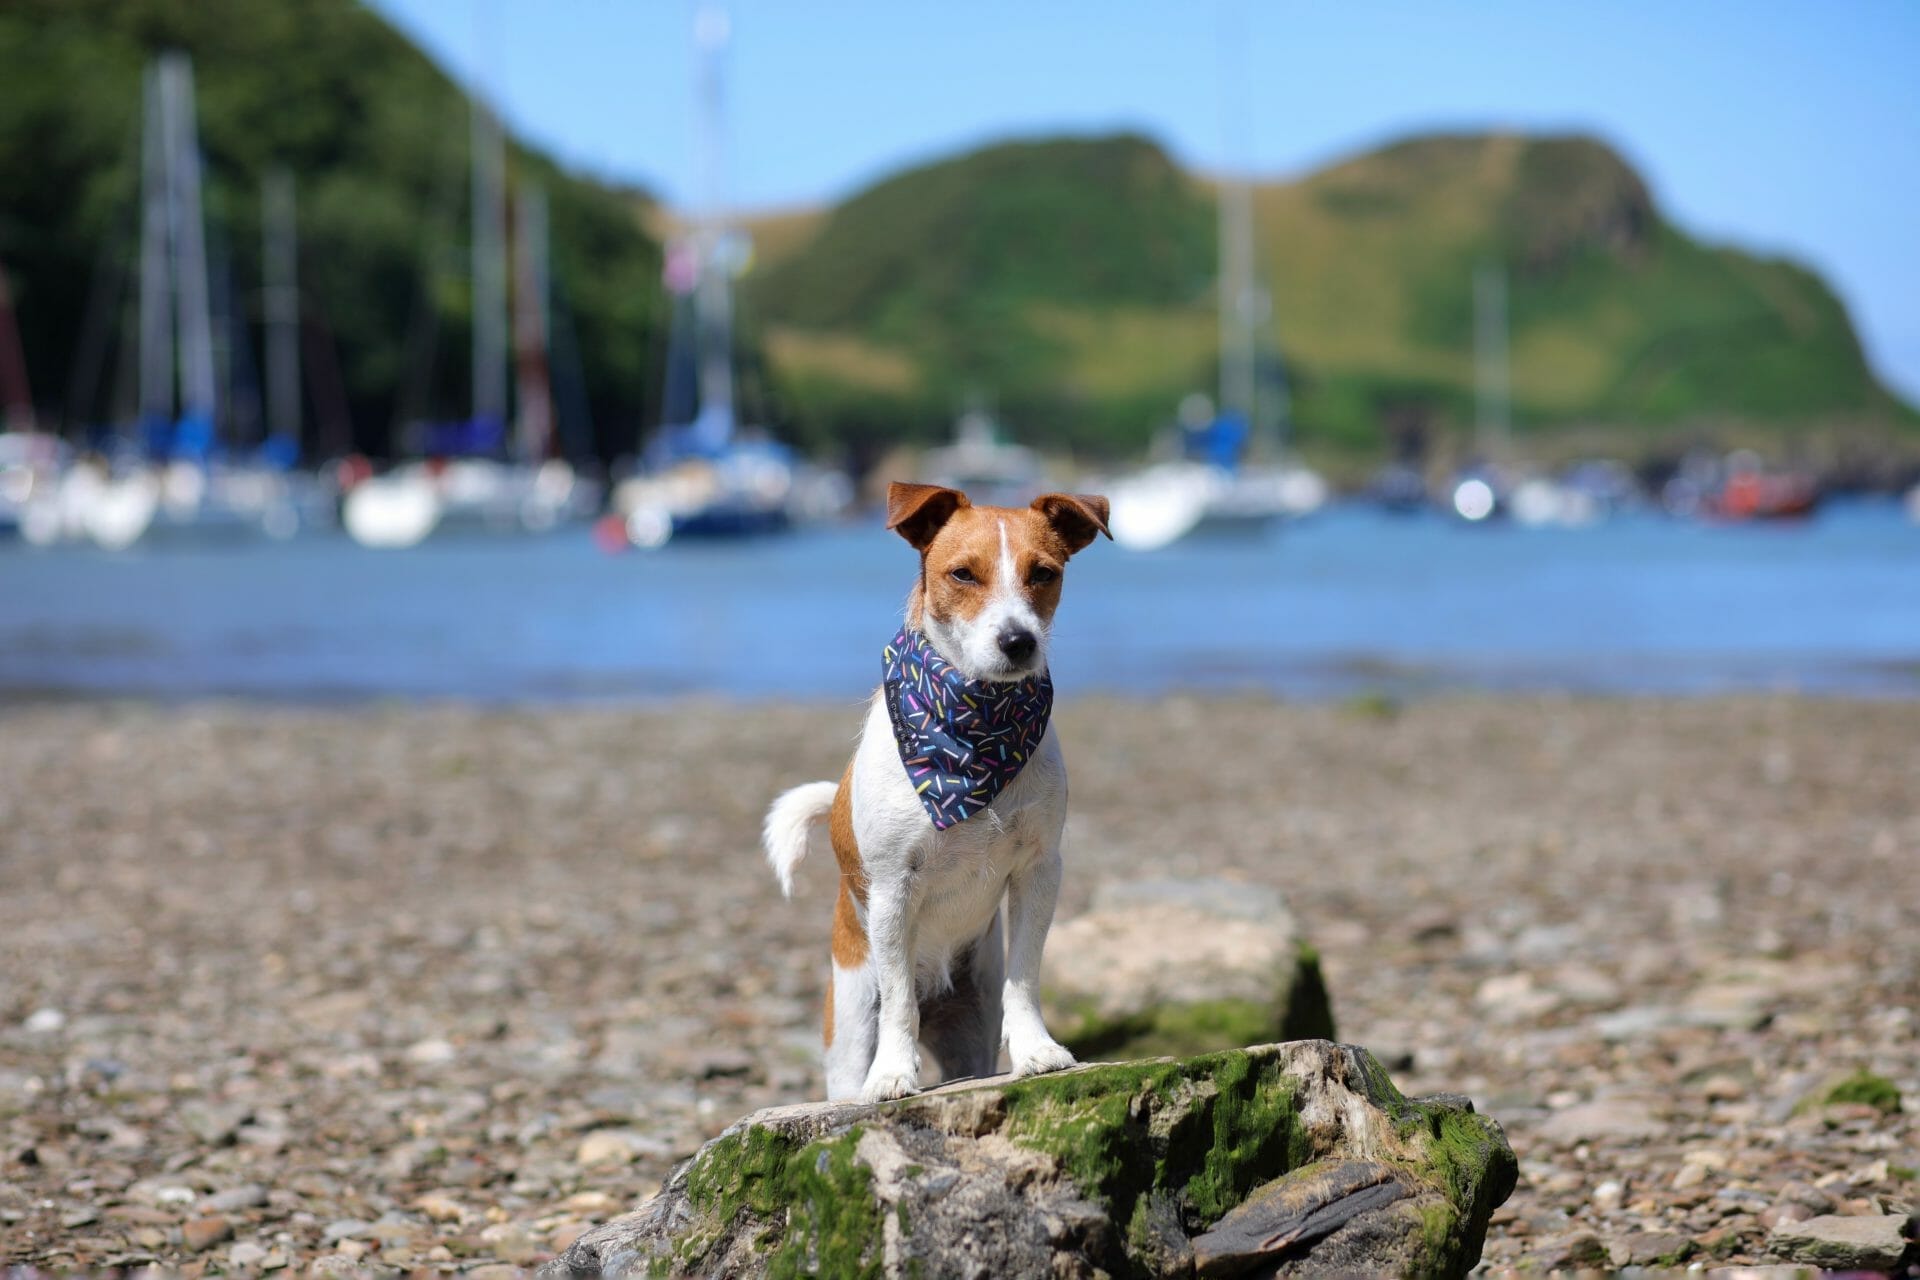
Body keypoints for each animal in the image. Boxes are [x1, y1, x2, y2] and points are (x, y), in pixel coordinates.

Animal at [756, 479, 1105, 1105]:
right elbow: (899, 1001)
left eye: (1044, 573)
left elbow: (1026, 973)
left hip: (972, 1027)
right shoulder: (894, 887)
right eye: (962, 574)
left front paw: (1037, 1050)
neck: (976, 731)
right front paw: (894, 1072)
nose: (1018, 641)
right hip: (849, 1027)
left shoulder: (1040, 870)